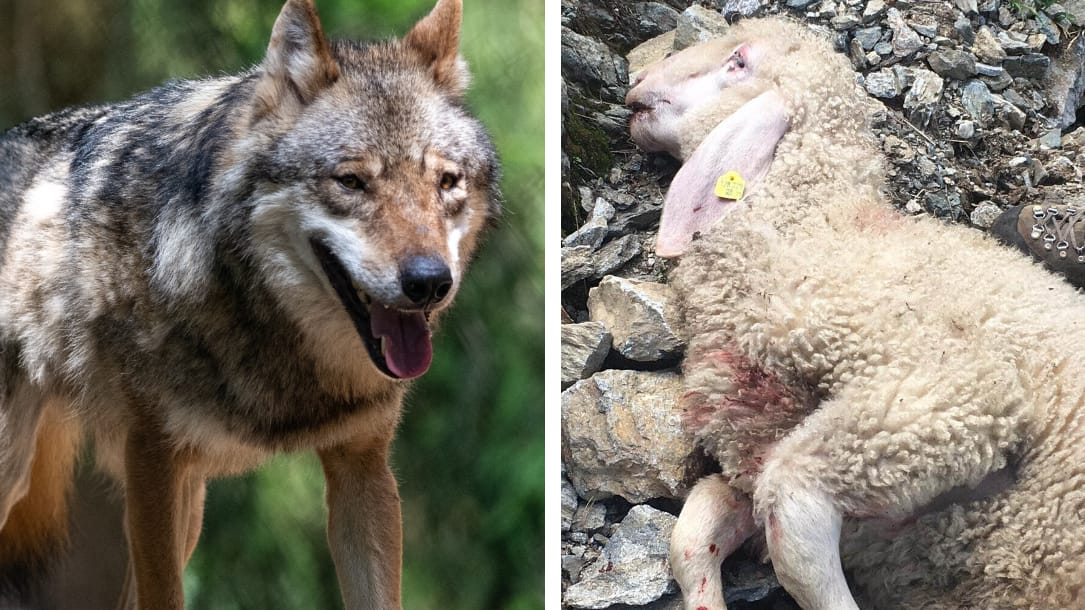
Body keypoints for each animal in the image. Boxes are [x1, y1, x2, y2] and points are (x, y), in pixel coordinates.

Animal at [0, 0, 496, 603]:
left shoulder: (362, 465)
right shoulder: (152, 462)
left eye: (447, 182)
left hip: (187, 506)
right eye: (351, 181)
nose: (429, 281)